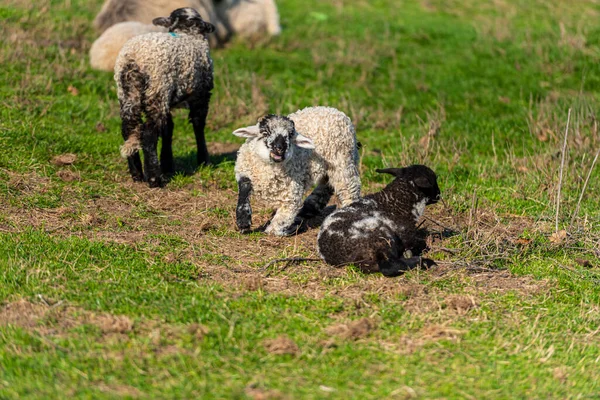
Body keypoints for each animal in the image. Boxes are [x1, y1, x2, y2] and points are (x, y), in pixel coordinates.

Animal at [113, 6, 214, 188]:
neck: (187, 32)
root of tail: (132, 59)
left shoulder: (170, 99)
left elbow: (168, 128)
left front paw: (167, 163)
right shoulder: (201, 94)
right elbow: (198, 125)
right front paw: (204, 160)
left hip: (129, 94)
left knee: (129, 129)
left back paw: (137, 173)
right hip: (158, 89)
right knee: (148, 134)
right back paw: (154, 178)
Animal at [233, 107, 360, 238]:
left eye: (289, 135)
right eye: (265, 132)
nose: (280, 149)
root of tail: (336, 111)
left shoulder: (292, 195)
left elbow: (275, 229)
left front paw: (290, 229)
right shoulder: (244, 170)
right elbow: (244, 187)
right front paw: (243, 221)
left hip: (343, 162)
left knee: (348, 191)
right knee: (326, 186)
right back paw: (308, 209)